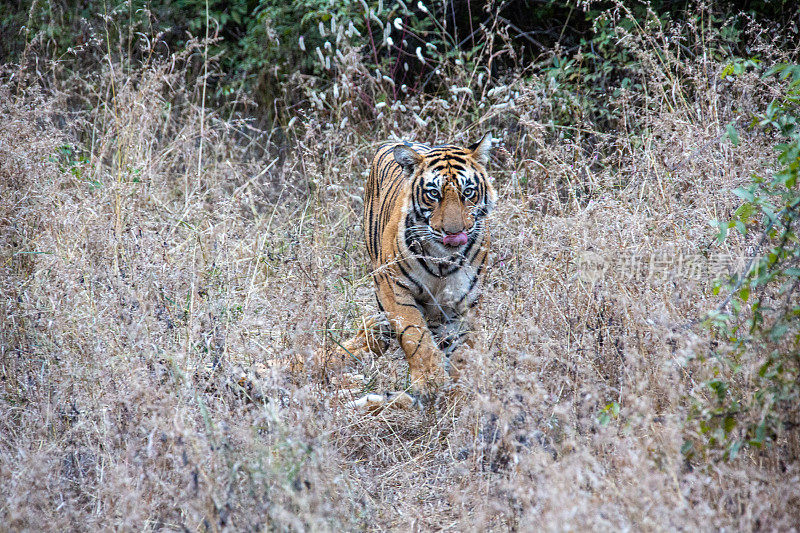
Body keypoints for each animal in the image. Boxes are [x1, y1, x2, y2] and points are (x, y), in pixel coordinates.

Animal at [318, 133, 494, 396]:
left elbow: (465, 347)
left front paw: (464, 387)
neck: (443, 260)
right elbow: (414, 334)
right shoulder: (393, 288)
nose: (454, 232)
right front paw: (430, 380)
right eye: (434, 194)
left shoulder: (465, 300)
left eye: (468, 192)